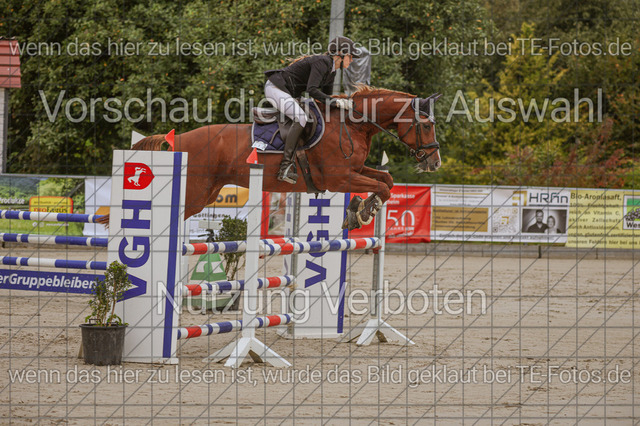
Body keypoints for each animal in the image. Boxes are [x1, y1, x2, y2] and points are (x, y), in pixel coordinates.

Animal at [103, 86, 442, 230]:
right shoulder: (338, 177)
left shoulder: (355, 170)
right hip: (193, 194)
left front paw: (359, 208)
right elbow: (383, 186)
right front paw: (364, 212)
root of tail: (179, 139)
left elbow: (386, 179)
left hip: (205, 195)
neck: (352, 123)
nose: (434, 162)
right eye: (426, 125)